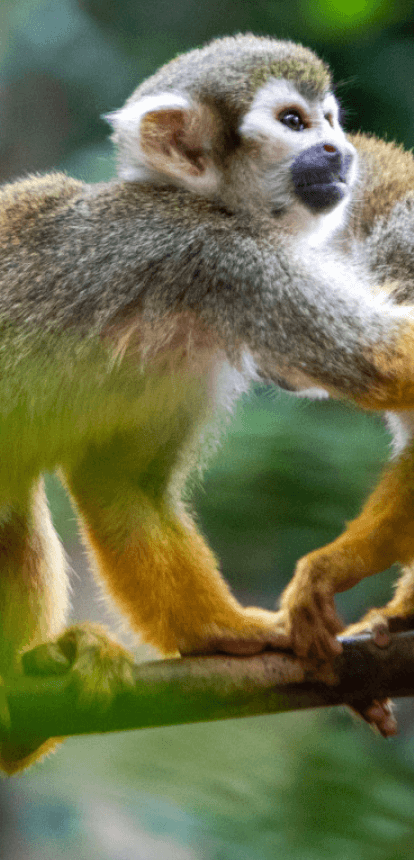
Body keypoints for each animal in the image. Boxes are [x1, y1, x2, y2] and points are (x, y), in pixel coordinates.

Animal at [0, 35, 414, 772]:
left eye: (330, 119)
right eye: (294, 122)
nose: (338, 150)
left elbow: (123, 483)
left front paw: (228, 633)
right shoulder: (226, 260)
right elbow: (384, 362)